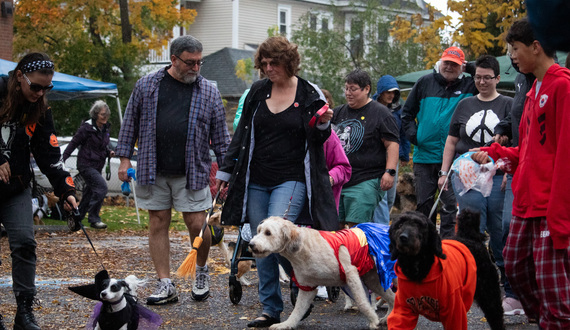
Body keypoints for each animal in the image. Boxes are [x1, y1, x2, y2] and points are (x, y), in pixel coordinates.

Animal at [246, 215, 392, 328]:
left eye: (268, 233)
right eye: (259, 230)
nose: (251, 245)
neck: (303, 247)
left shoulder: (351, 273)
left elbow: (361, 302)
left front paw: (373, 320)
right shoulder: (307, 287)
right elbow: (297, 310)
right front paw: (286, 324)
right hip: (373, 280)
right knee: (391, 297)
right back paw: (387, 318)